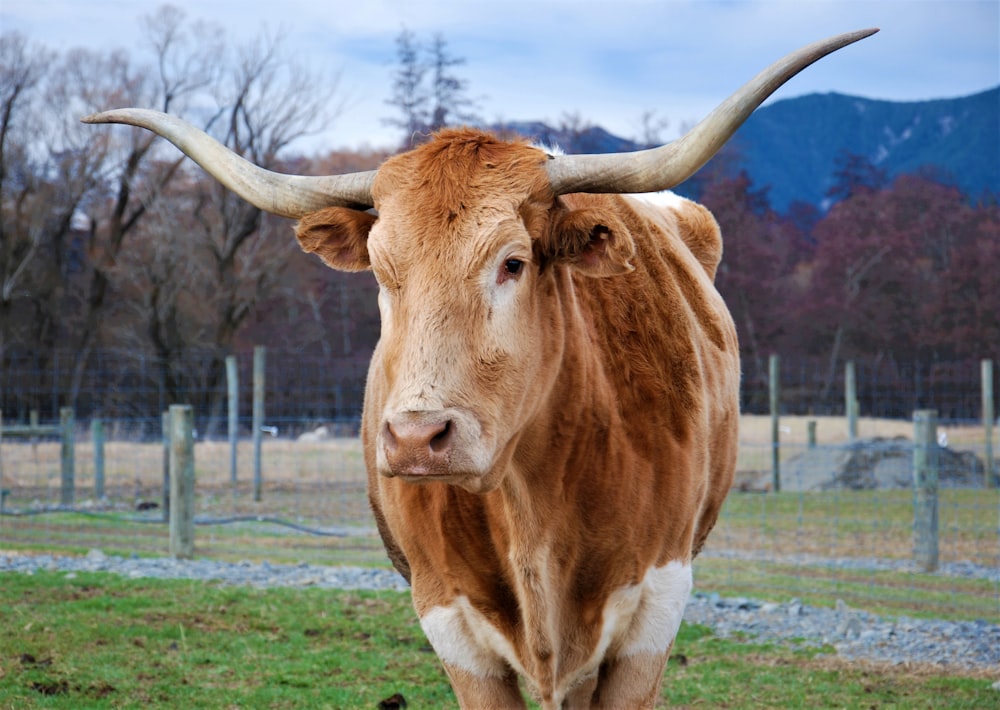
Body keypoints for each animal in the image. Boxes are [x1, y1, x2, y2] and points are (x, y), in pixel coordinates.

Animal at [90, 29, 880, 710]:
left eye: (513, 263)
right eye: (382, 270)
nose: (417, 438)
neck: (532, 501)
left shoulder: (654, 612)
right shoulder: (450, 622)